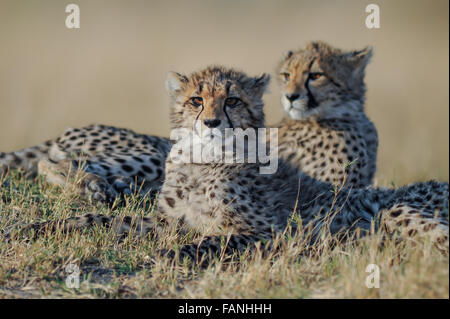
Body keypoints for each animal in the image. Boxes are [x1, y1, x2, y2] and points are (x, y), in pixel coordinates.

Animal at [15, 65, 448, 264]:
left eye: (233, 100)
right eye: (196, 99)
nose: (210, 122)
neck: (201, 163)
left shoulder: (269, 233)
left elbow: (211, 242)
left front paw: (169, 257)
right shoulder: (167, 221)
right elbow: (101, 219)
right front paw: (44, 227)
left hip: (397, 210)